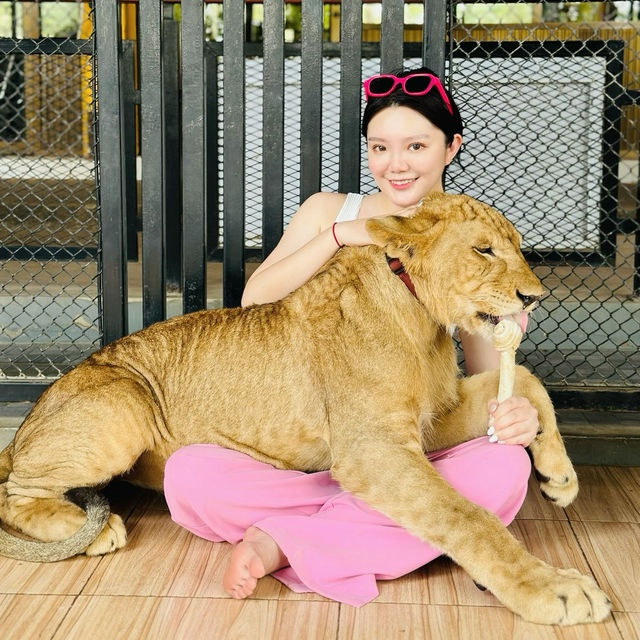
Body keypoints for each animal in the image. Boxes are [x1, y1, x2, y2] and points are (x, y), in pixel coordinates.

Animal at [0, 194, 608, 624]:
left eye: (518, 246)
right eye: (484, 250)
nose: (534, 297)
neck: (421, 317)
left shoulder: (428, 421)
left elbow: (526, 379)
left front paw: (559, 477)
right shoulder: (371, 447)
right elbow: (464, 517)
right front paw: (554, 590)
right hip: (123, 400)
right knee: (15, 493)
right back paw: (94, 529)